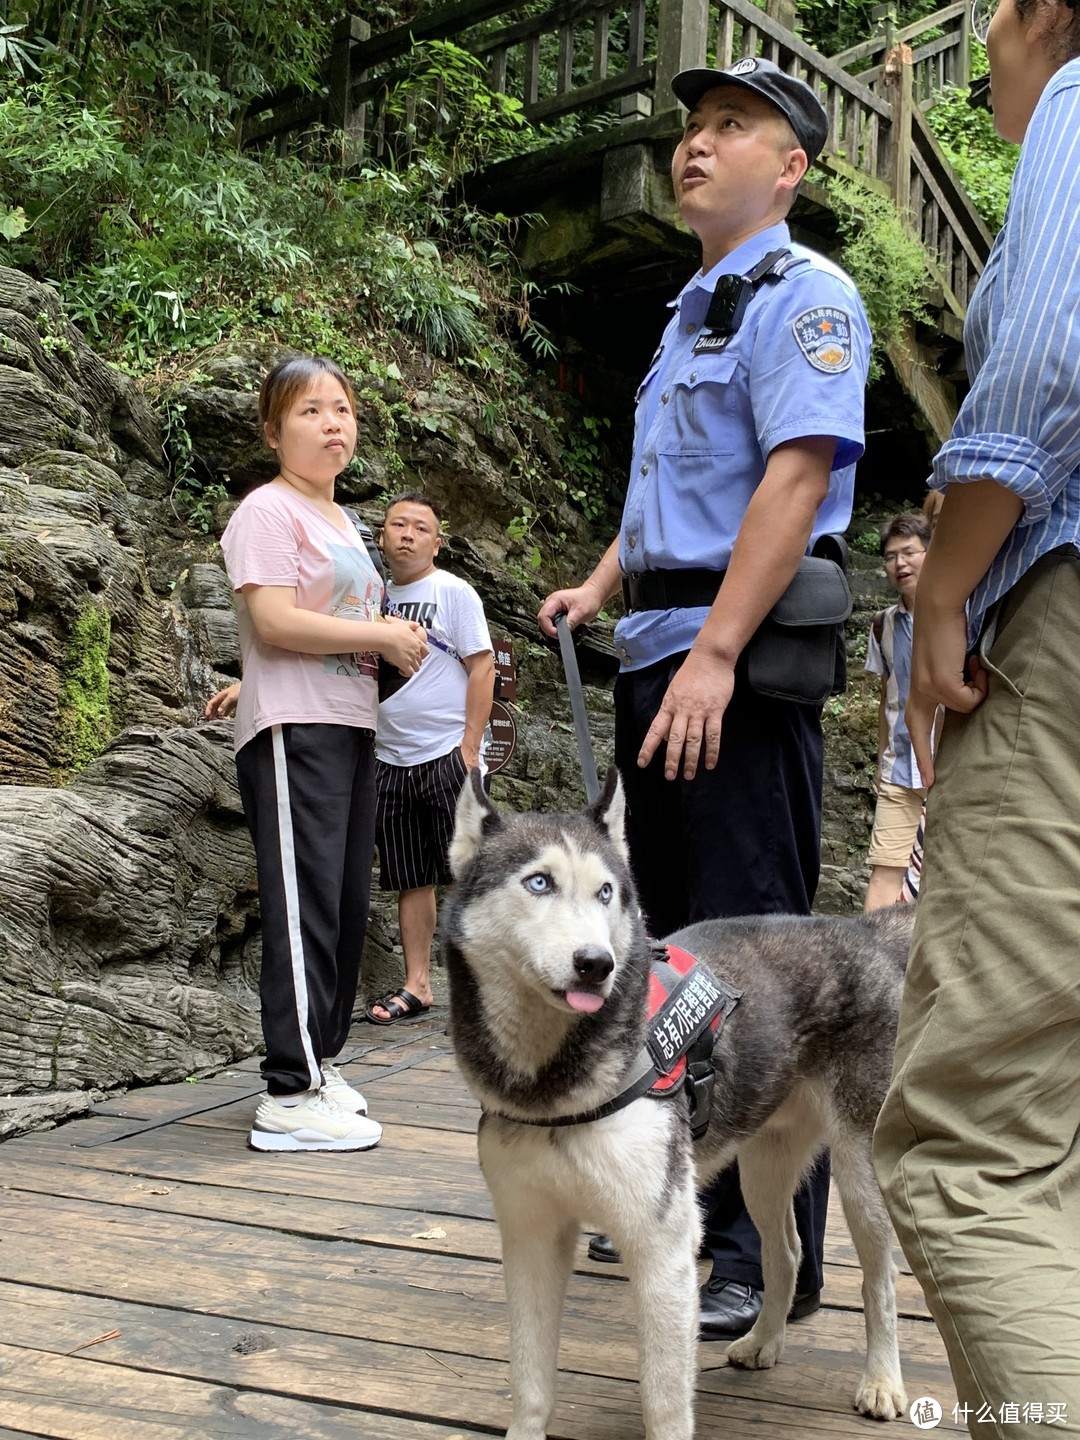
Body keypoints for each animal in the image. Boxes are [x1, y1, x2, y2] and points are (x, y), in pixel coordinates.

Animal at [449, 771, 915, 1440]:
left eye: (607, 892)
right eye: (539, 882)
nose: (597, 965)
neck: (552, 1090)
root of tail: (863, 930)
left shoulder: (662, 1241)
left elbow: (664, 1396)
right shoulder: (529, 1231)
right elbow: (530, 1377)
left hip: (859, 1171)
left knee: (880, 1275)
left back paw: (881, 1381)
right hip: (762, 1166)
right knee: (786, 1251)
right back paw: (763, 1341)